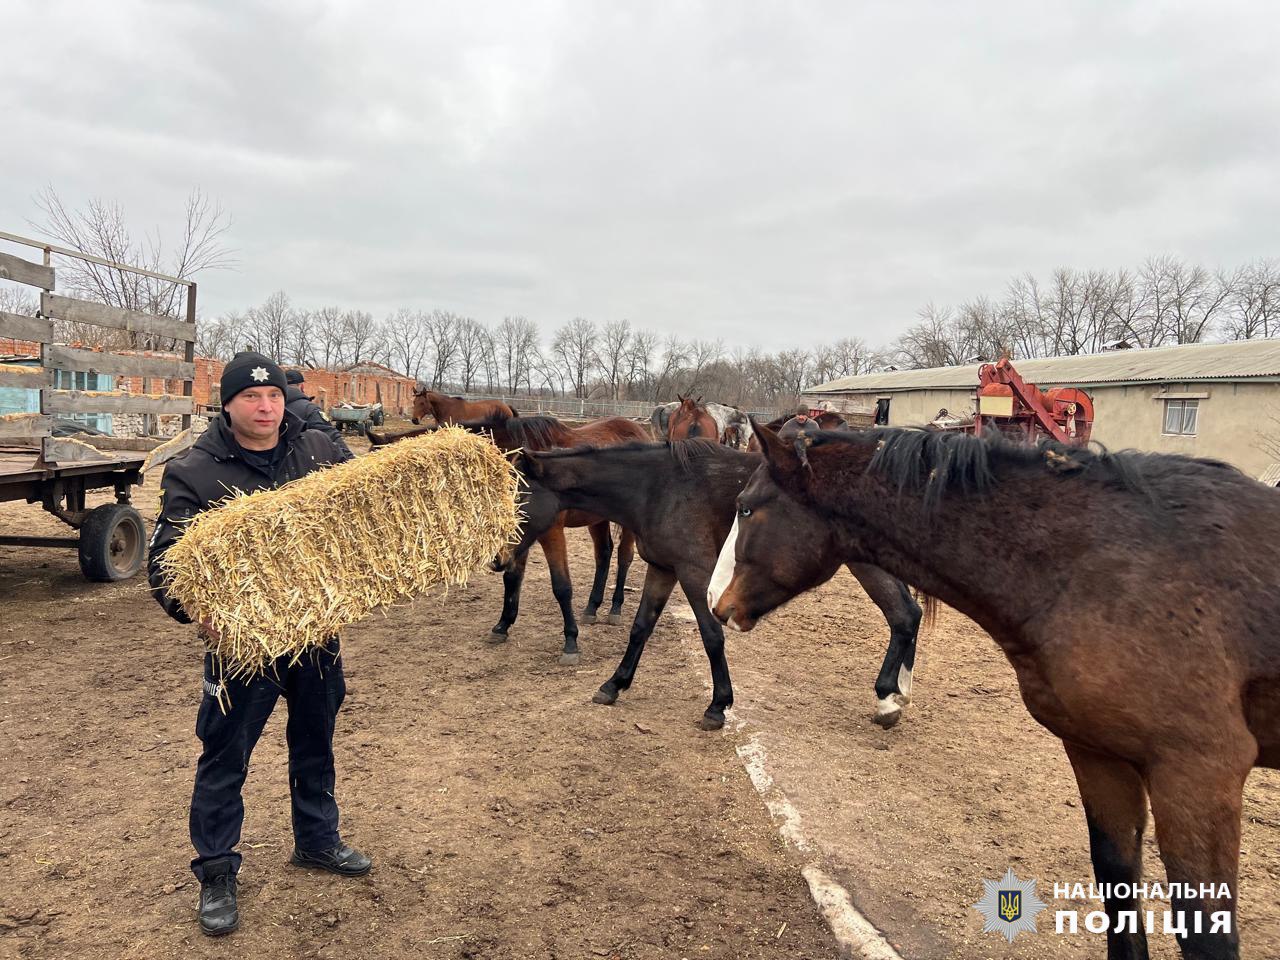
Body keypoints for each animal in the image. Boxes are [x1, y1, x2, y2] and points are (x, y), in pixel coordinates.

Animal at [455, 414, 645, 670]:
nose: (495, 561)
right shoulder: (523, 536)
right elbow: (512, 578)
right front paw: (502, 625)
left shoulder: (550, 532)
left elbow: (561, 586)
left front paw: (571, 642)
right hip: (597, 518)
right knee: (603, 553)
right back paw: (592, 608)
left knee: (624, 556)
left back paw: (615, 608)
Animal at [512, 442, 931, 727]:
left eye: (519, 500)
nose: (501, 560)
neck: (655, 488)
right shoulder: (662, 569)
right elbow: (640, 628)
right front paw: (614, 685)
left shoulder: (694, 572)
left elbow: (712, 635)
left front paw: (718, 706)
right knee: (909, 614)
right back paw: (900, 694)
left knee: (902, 615)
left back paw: (887, 699)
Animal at [716, 422, 1274, 960]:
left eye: (746, 507)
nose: (715, 604)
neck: (1101, 567)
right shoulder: (1098, 754)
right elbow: (1118, 896)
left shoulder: (1198, 774)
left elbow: (1207, 935)